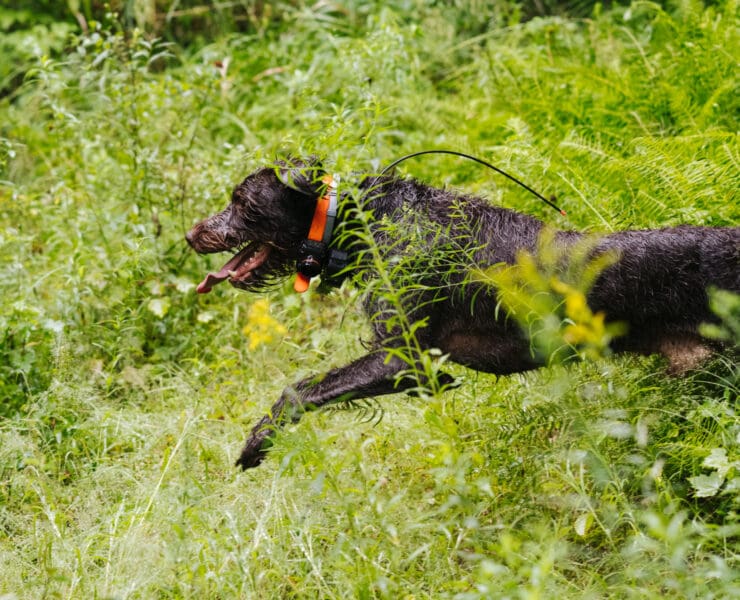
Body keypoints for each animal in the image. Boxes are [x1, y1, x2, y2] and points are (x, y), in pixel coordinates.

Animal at [186, 158, 740, 468]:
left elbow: (297, 391)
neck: (366, 220)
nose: (192, 235)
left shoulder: (402, 359)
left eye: (240, 201)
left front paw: (257, 443)